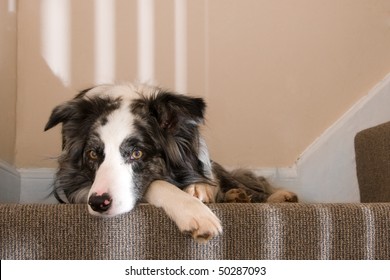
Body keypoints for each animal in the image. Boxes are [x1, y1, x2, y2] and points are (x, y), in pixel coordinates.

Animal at [44, 83, 298, 243]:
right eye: (93, 155)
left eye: (137, 153)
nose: (98, 204)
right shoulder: (78, 186)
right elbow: (158, 184)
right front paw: (195, 212)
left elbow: (205, 179)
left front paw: (200, 189)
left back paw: (272, 196)